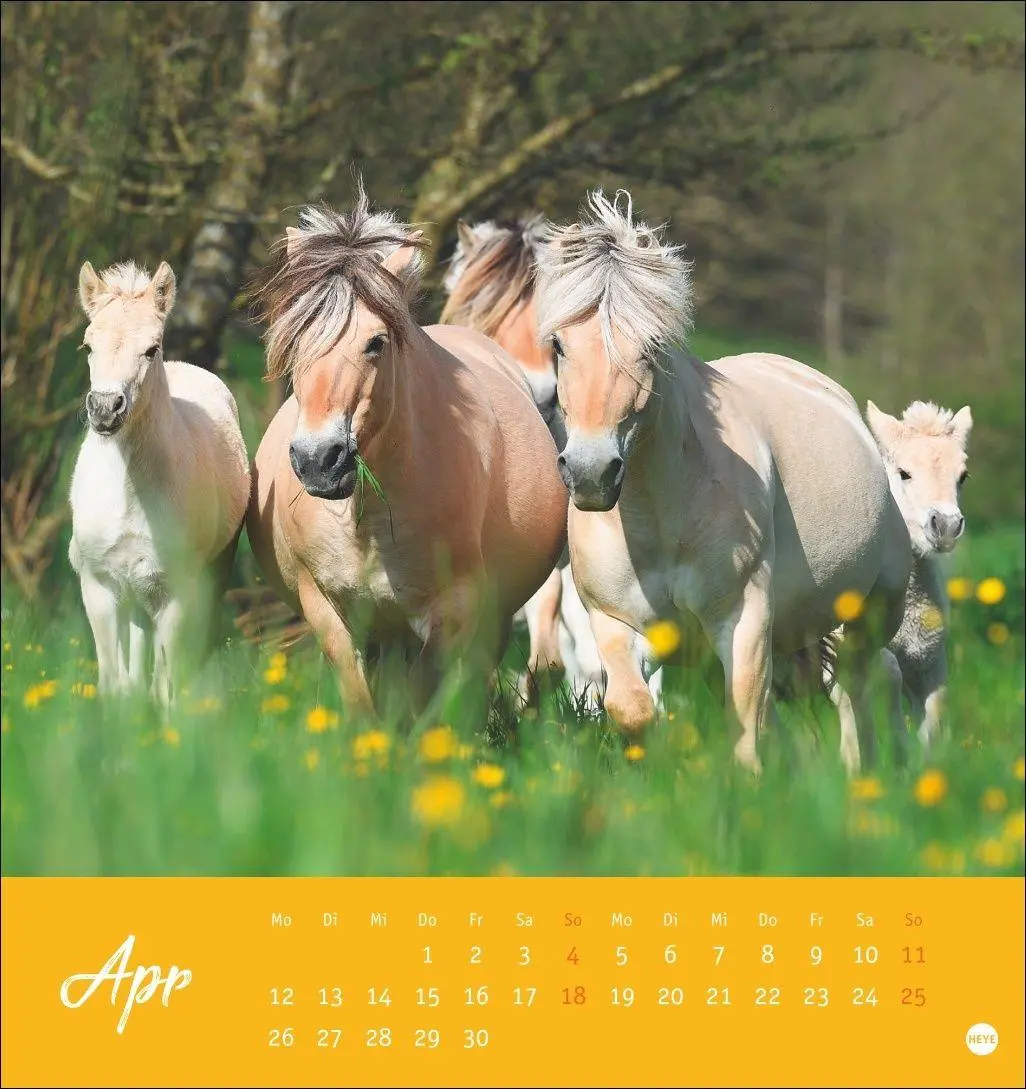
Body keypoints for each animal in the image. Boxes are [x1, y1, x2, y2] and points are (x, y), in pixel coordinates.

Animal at [69, 260, 250, 705]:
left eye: (151, 349)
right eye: (88, 346)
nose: (105, 409)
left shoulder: (177, 590)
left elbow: (166, 686)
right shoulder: (97, 584)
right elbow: (113, 683)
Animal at [246, 193, 567, 718]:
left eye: (376, 342)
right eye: (292, 340)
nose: (319, 460)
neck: (369, 517)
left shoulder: (454, 612)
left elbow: (424, 698)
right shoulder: (328, 610)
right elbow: (362, 702)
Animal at [535, 190, 911, 773]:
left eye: (651, 346)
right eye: (558, 346)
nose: (591, 473)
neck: (661, 515)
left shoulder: (742, 620)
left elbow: (746, 731)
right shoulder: (616, 622)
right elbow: (631, 708)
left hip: (871, 611)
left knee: (859, 683)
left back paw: (860, 774)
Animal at [828, 400, 972, 761]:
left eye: (963, 476)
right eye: (904, 473)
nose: (945, 527)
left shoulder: (929, 659)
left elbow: (935, 708)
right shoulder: (847, 653)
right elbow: (882, 681)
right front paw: (891, 753)